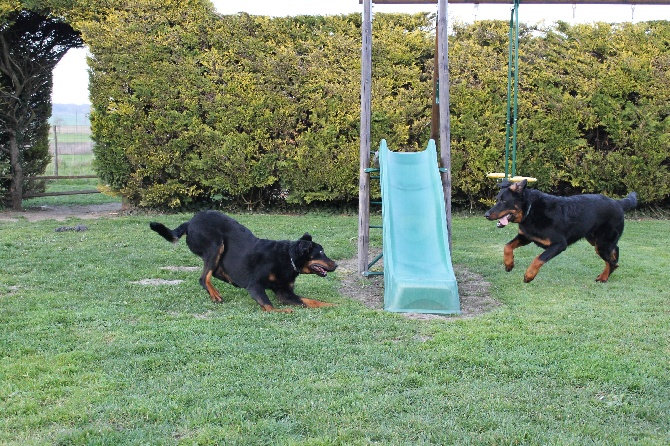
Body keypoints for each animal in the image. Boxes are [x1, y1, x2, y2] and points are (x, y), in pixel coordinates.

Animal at [486, 180, 636, 282]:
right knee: (615, 252)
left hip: (602, 244)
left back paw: (604, 277)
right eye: (497, 200)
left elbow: (538, 258)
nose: (486, 215)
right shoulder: (526, 237)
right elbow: (507, 247)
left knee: (612, 261)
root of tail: (618, 203)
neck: (530, 209)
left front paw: (529, 276)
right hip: (595, 240)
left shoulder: (559, 244)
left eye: (503, 201)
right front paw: (509, 264)